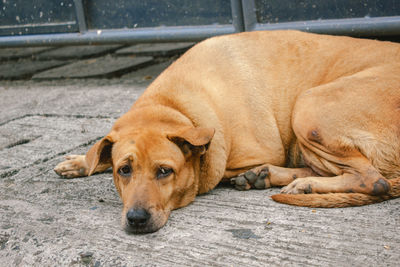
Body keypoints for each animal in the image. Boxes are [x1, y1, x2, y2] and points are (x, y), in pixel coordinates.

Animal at [54, 30, 400, 233]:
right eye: (123, 170)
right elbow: (99, 152)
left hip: (307, 107)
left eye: (165, 171)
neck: (173, 105)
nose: (136, 219)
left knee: (374, 180)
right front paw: (80, 162)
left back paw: (301, 184)